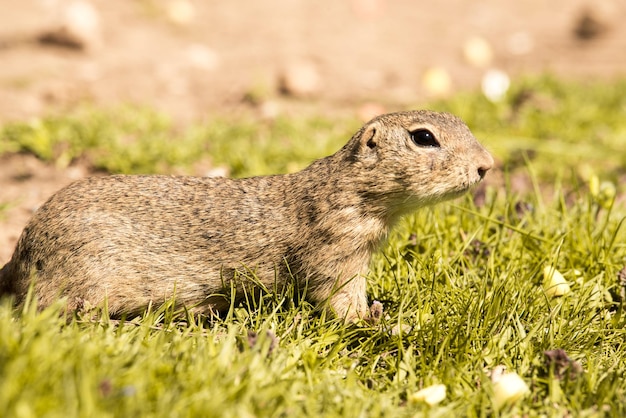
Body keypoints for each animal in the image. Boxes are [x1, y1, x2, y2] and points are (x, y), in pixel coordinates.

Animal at [0, 110, 492, 320]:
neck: (346, 188)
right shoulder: (336, 252)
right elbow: (337, 300)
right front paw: (381, 321)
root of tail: (20, 255)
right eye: (424, 137)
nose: (487, 165)